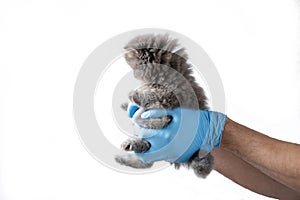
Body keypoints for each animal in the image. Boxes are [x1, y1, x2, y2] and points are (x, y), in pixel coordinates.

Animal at [115, 33, 213, 178]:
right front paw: (127, 104)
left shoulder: (171, 95)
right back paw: (124, 156)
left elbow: (154, 94)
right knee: (146, 159)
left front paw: (135, 95)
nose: (134, 75)